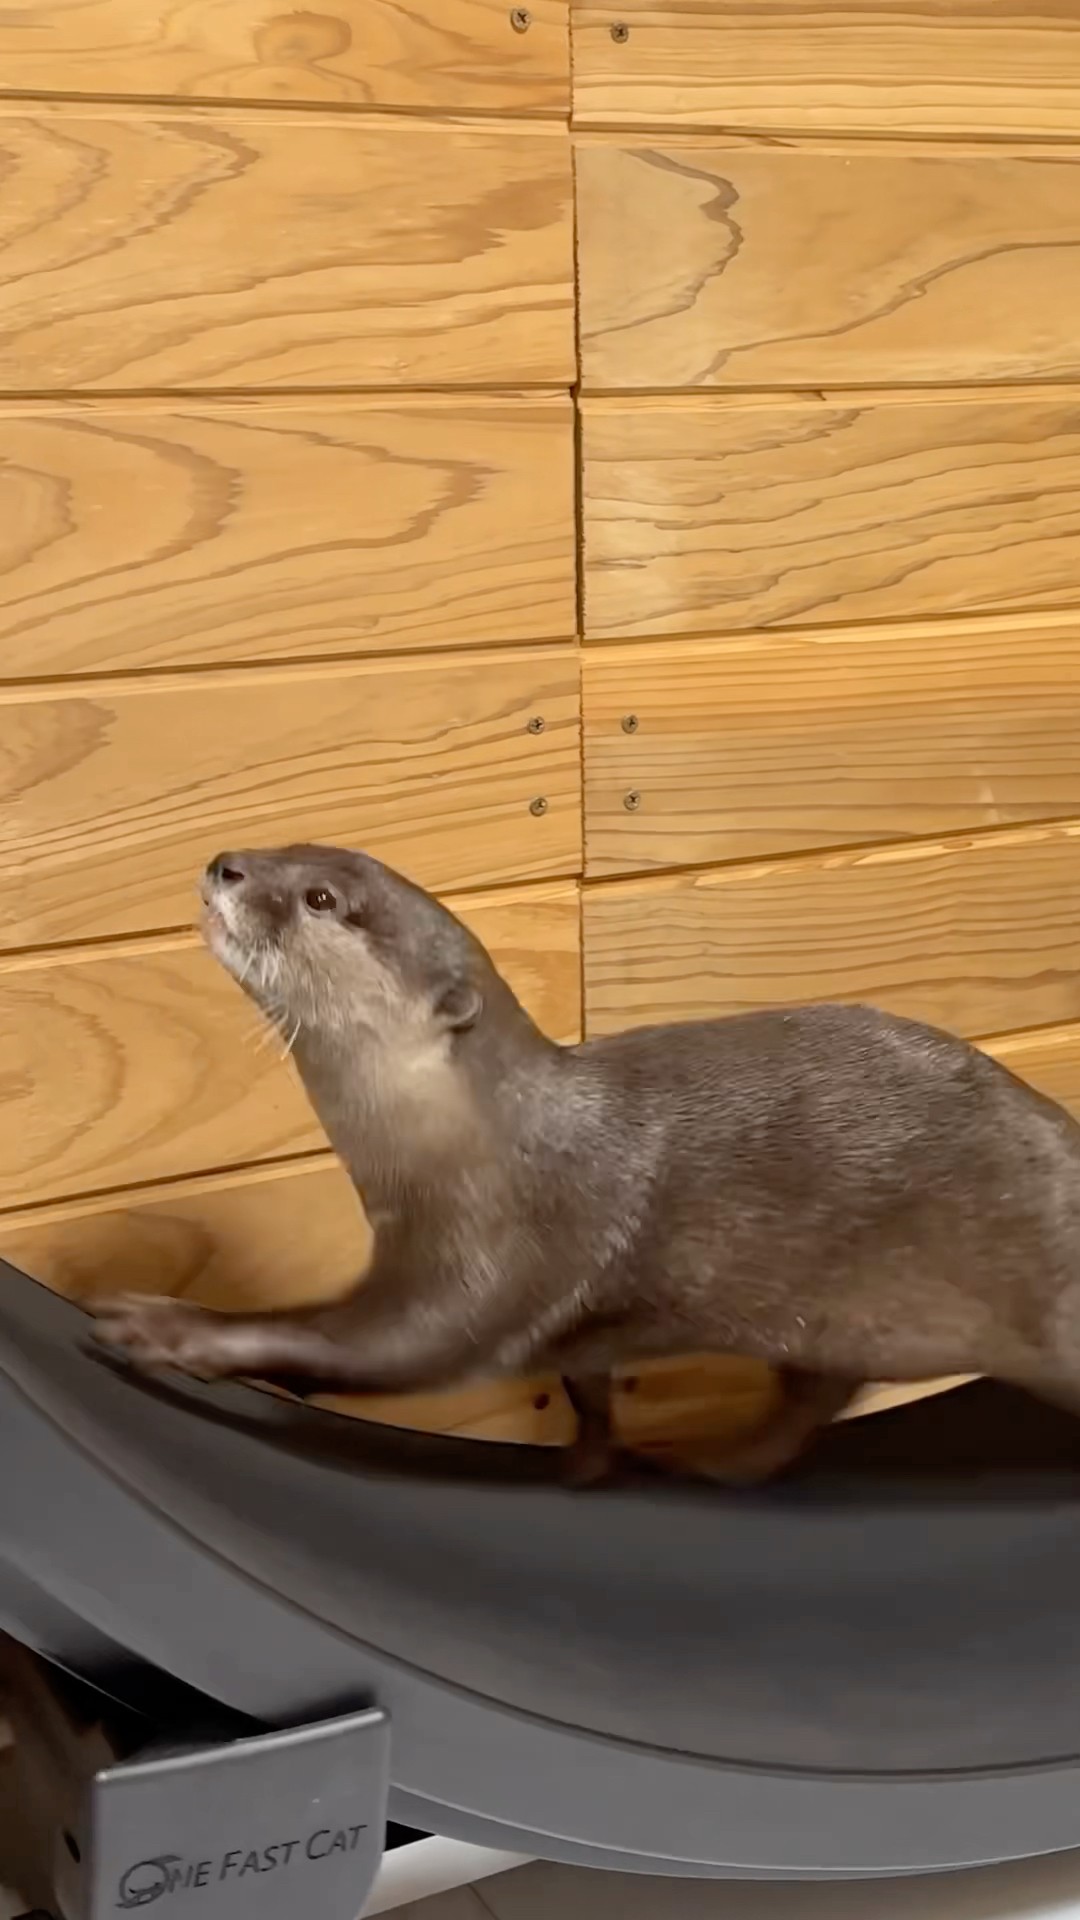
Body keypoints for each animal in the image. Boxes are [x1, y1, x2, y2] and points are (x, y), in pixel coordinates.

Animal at [92, 843, 1080, 1485]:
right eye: (285, 850)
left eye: (321, 899)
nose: (227, 864)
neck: (480, 1148)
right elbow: (584, 1382)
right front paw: (590, 1459)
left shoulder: (500, 1260)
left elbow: (374, 1346)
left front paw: (172, 1327)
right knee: (815, 1395)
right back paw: (717, 1463)